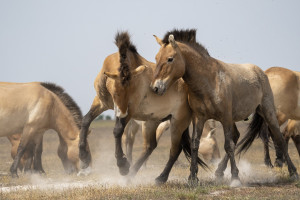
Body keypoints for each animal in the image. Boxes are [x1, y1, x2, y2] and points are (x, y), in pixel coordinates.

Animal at [78, 31, 207, 184]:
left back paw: (159, 178)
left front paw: (122, 165)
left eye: (132, 89)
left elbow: (117, 131)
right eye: (116, 92)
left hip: (178, 122)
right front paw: (84, 158)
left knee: (174, 150)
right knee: (150, 146)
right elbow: (86, 121)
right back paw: (132, 174)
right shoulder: (100, 103)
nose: (121, 113)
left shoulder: (130, 109)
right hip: (152, 121)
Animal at [150, 28, 298, 185]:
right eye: (156, 58)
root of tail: (261, 72)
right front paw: (192, 178)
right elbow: (196, 144)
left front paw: (235, 178)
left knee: (279, 138)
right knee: (237, 135)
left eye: (170, 59)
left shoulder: (225, 117)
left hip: (268, 112)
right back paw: (219, 171)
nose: (155, 87)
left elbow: (228, 145)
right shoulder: (199, 118)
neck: (209, 82)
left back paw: (293, 172)